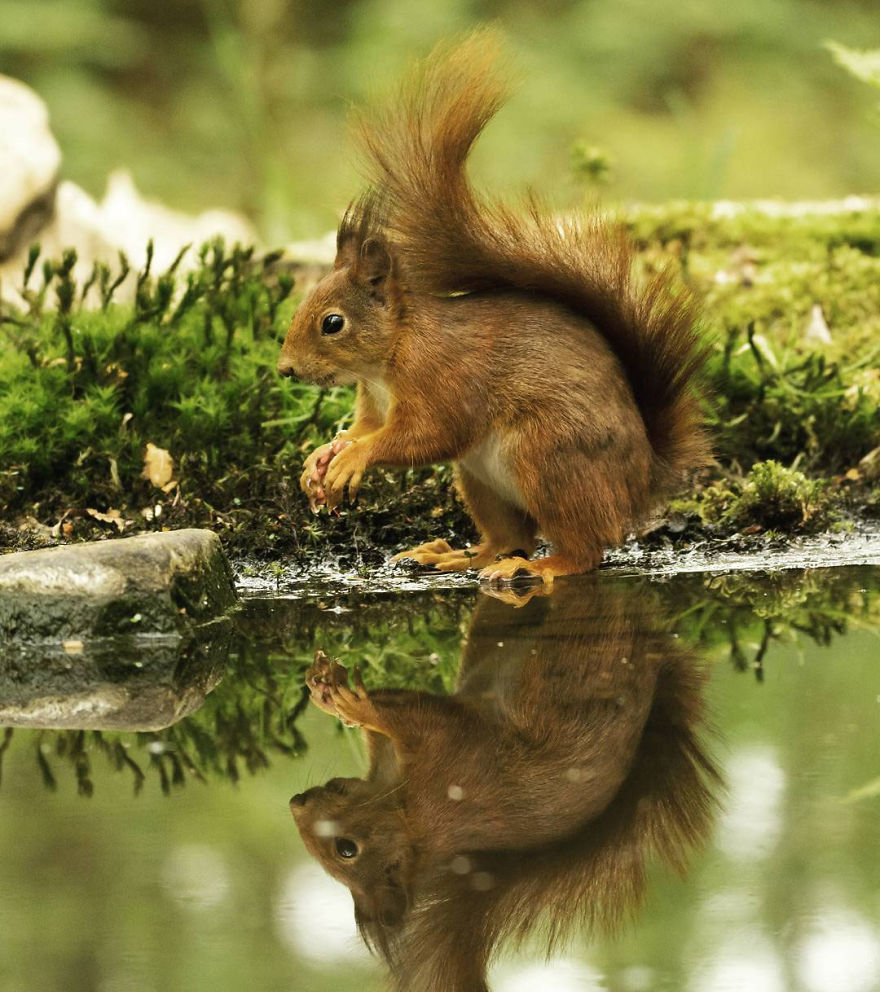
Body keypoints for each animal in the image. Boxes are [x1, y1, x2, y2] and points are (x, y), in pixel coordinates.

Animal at [277, 32, 710, 586]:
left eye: (333, 323)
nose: (285, 369)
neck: (389, 357)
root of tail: (639, 485)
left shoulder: (442, 378)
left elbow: (427, 434)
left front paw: (355, 458)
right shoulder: (374, 401)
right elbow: (368, 428)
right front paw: (325, 453)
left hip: (549, 460)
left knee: (584, 549)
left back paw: (540, 566)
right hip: (480, 479)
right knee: (508, 536)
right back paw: (457, 556)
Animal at [289, 578, 720, 992]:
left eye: (346, 849)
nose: (296, 801)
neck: (407, 811)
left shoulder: (438, 753)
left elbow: (397, 716)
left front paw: (337, 694)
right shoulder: (444, 759)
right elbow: (411, 717)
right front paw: (345, 698)